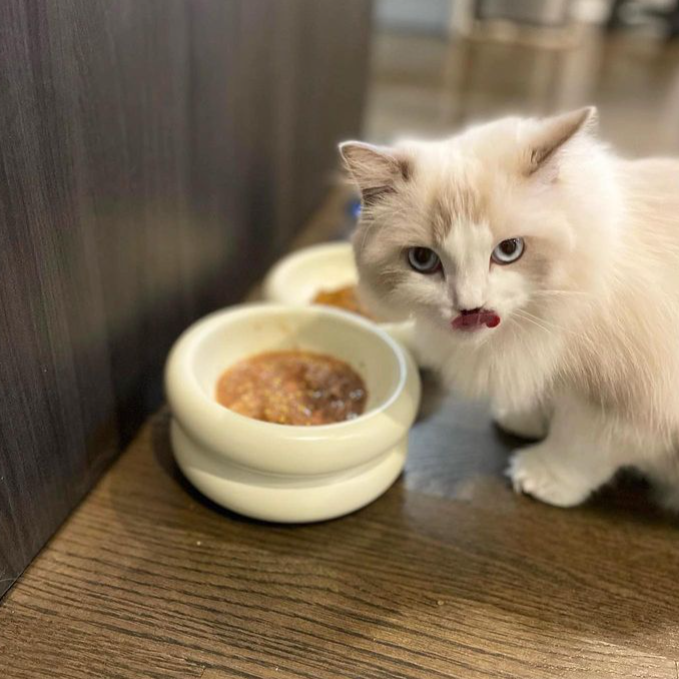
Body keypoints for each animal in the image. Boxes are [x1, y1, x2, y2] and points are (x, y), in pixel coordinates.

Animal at [340, 106, 679, 510]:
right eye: (423, 259)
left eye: (508, 250)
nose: (470, 307)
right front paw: (523, 418)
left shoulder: (634, 401)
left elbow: (583, 445)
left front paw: (540, 477)